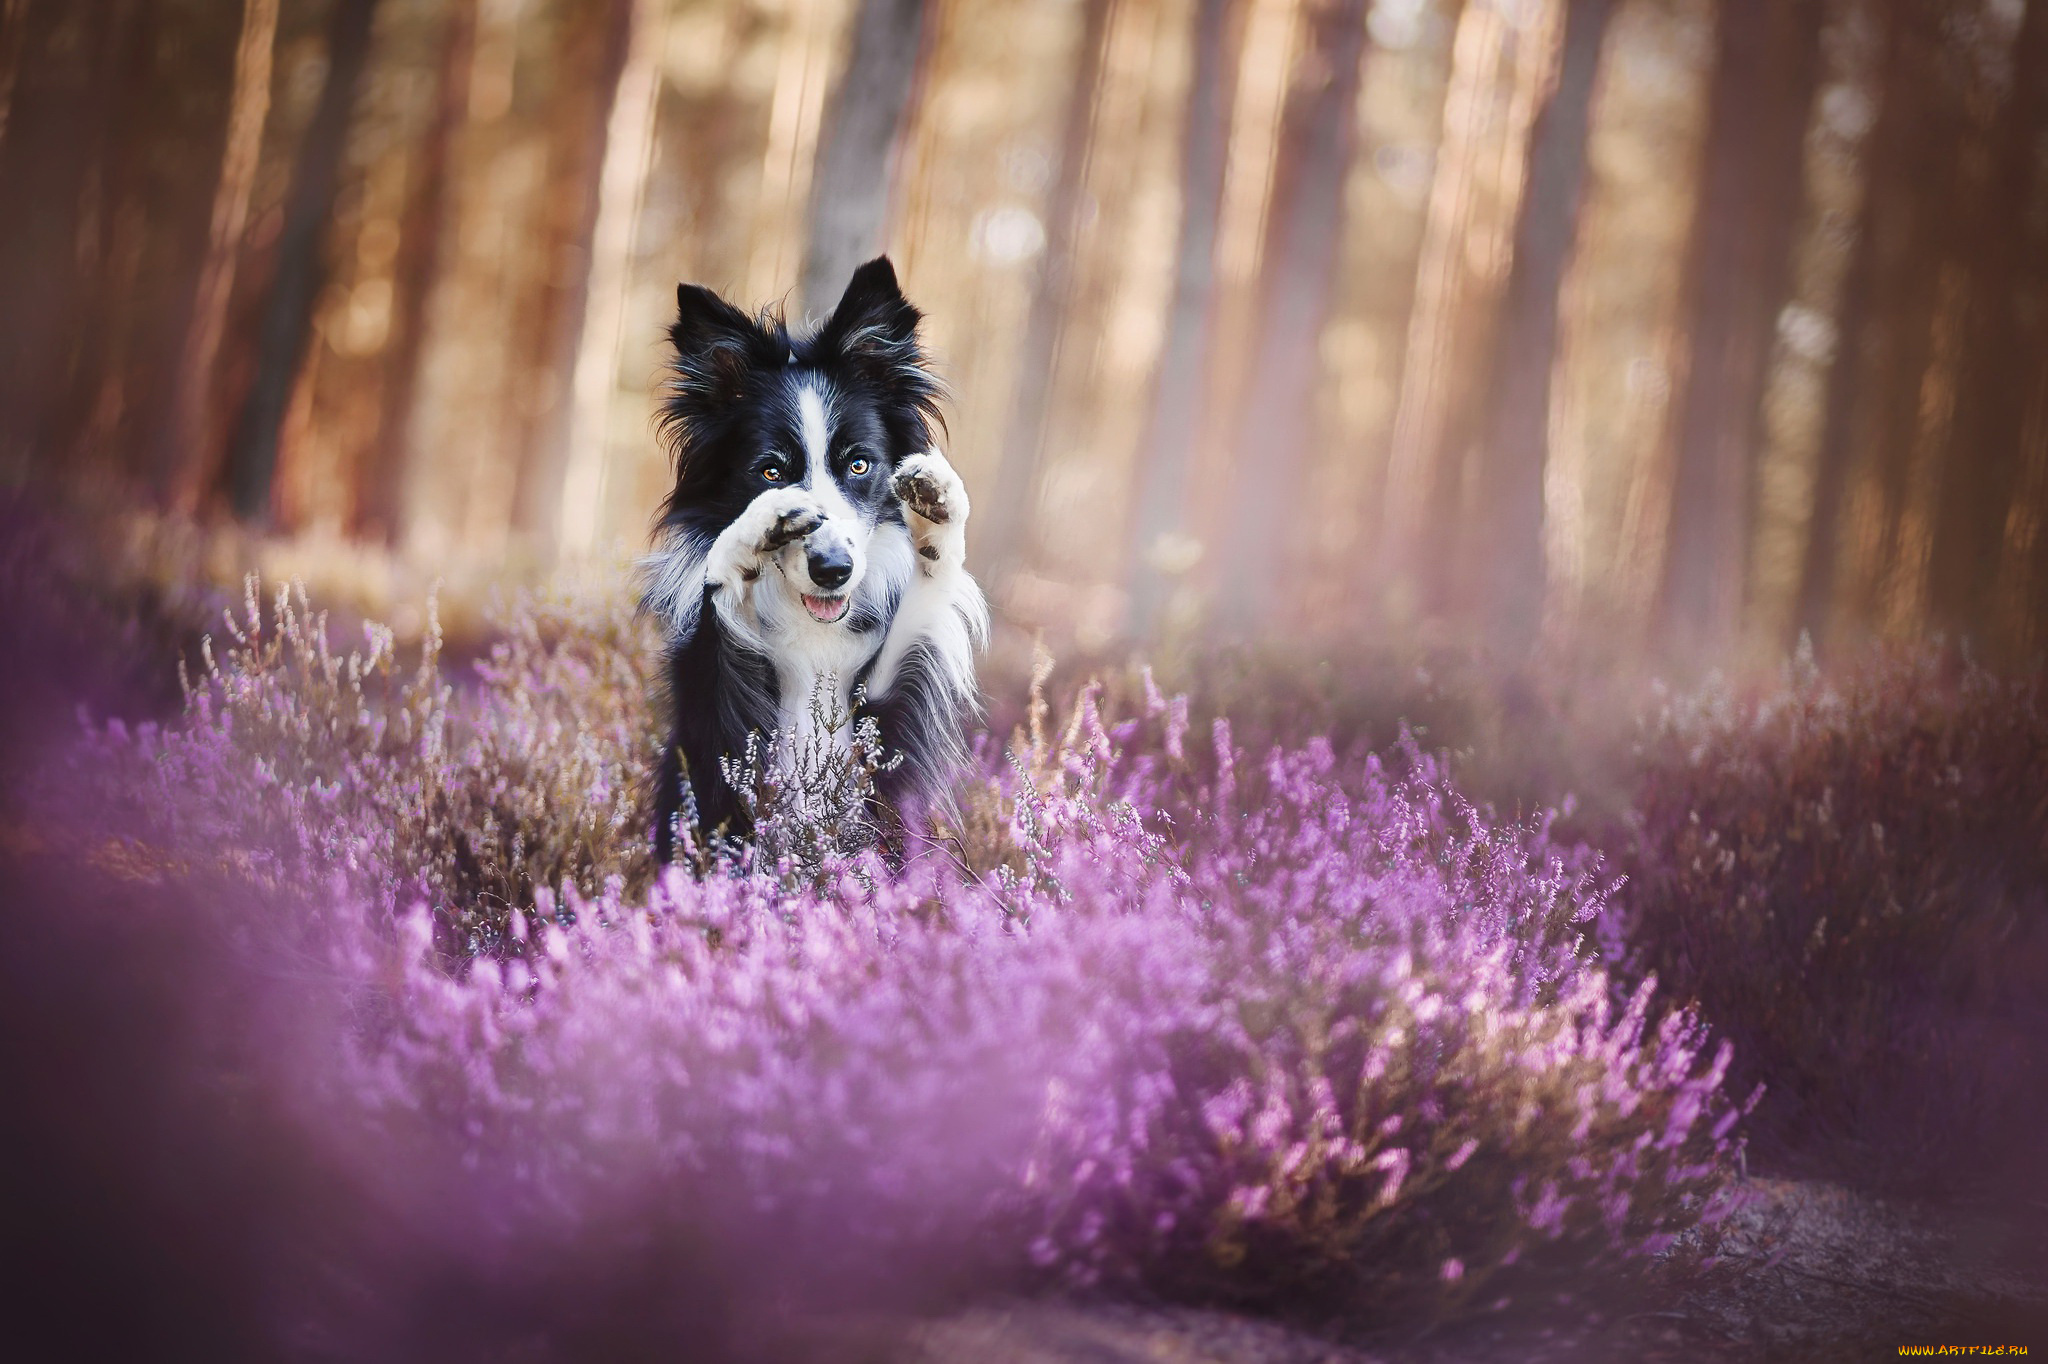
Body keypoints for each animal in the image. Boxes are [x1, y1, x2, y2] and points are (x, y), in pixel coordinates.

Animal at [643, 256, 987, 856]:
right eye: (770, 471)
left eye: (859, 464)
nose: (833, 571)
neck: (815, 630)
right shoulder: (717, 732)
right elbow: (722, 613)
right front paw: (755, 529)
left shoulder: (884, 716)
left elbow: (921, 603)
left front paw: (938, 510)